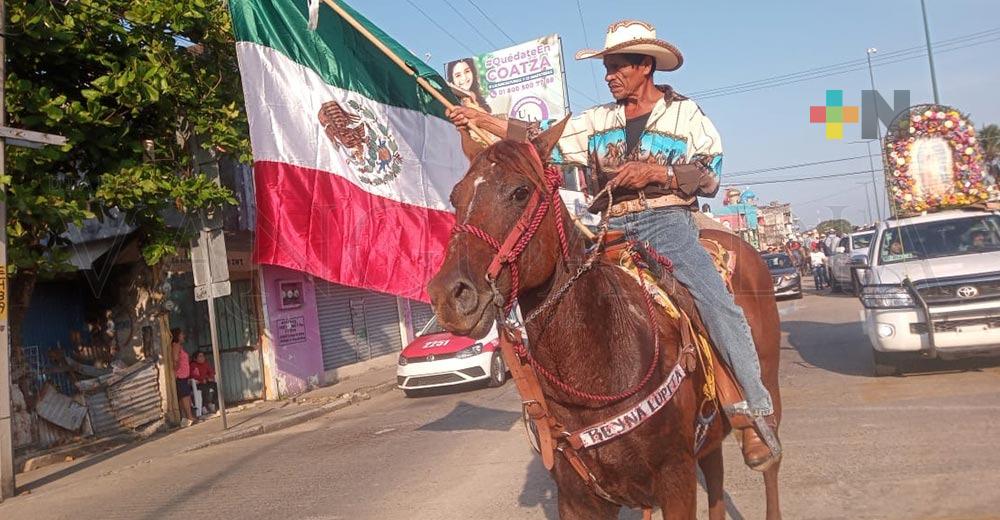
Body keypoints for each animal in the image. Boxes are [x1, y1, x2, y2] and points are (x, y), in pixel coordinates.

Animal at [424, 123, 780, 520]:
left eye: (520, 192)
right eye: (455, 197)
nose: (448, 295)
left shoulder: (677, 480)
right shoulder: (578, 499)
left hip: (768, 388)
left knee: (770, 463)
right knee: (715, 474)